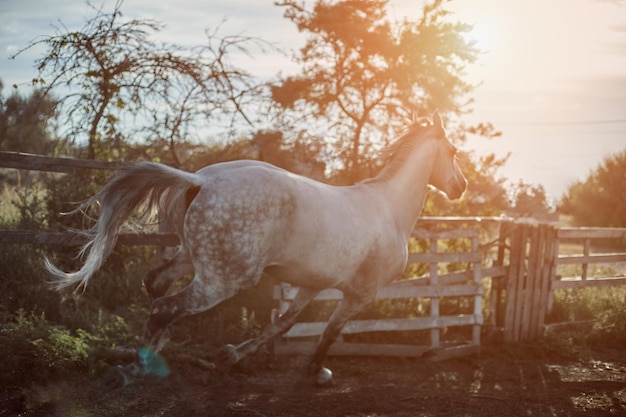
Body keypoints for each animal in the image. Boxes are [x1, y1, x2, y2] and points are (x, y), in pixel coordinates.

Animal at [46, 111, 464, 386]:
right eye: (454, 151)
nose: (460, 188)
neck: (389, 209)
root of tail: (201, 180)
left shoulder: (311, 285)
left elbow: (284, 323)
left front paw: (231, 356)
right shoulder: (360, 294)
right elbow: (329, 331)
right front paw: (317, 371)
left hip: (191, 258)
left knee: (156, 284)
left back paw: (153, 353)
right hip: (224, 280)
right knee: (166, 306)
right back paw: (135, 368)